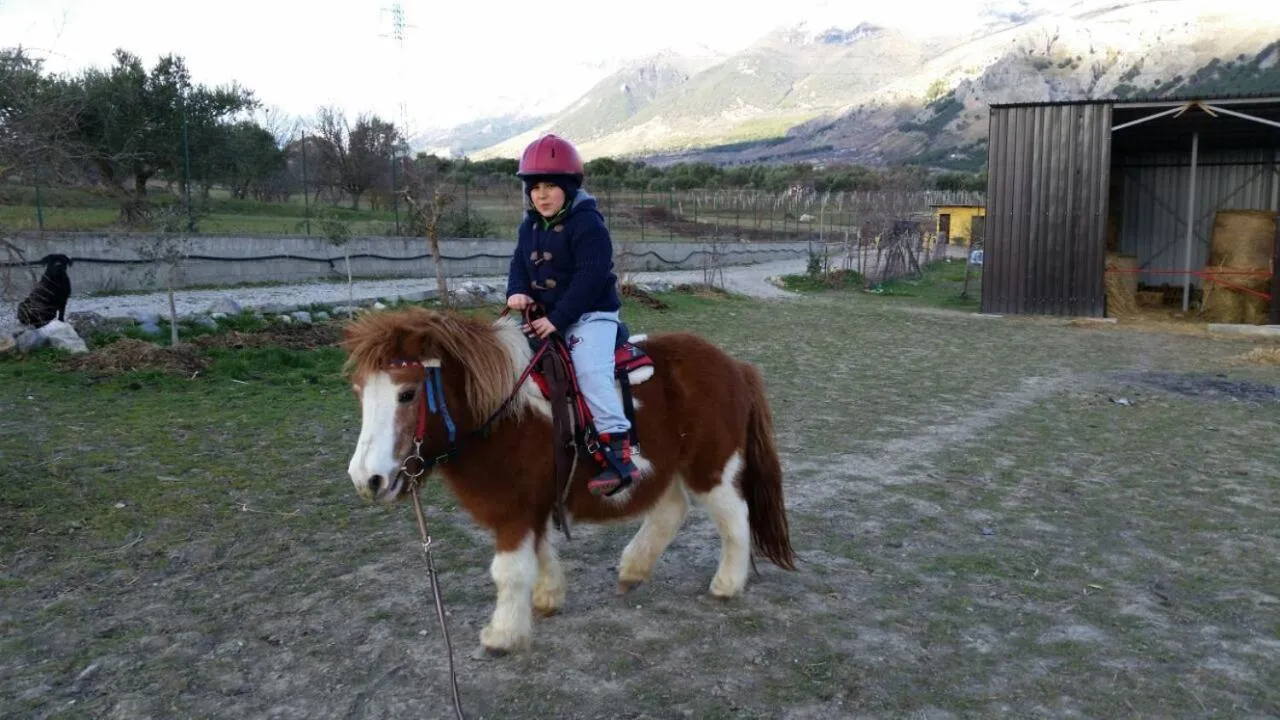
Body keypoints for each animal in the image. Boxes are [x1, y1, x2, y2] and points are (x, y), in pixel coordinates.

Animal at [340, 305, 796, 655]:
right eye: (359, 391)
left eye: (406, 393)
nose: (367, 479)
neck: (503, 415)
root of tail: (735, 366)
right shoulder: (532, 504)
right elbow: (540, 553)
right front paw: (547, 598)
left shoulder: (515, 509)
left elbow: (508, 571)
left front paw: (502, 635)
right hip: (669, 467)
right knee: (672, 509)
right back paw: (633, 569)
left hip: (711, 467)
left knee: (734, 517)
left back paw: (726, 584)